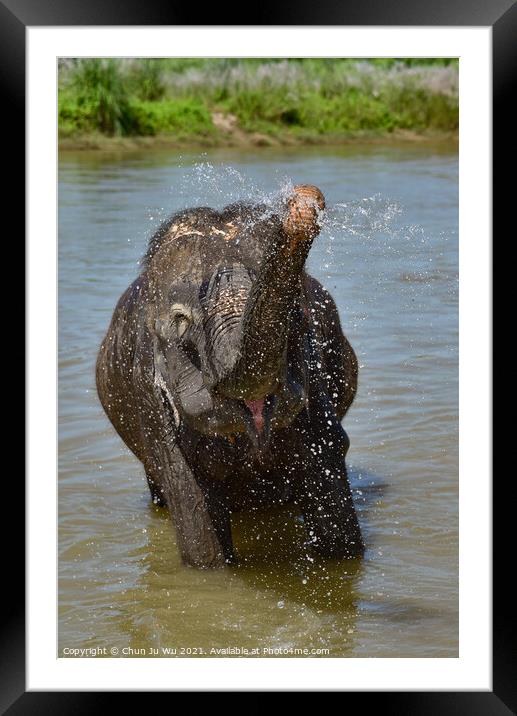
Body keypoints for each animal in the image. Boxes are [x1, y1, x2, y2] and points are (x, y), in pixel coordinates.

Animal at [97, 183, 362, 564]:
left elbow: (327, 471)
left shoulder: (314, 376)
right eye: (181, 320)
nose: (303, 199)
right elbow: (193, 508)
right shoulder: (149, 395)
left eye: (296, 313)